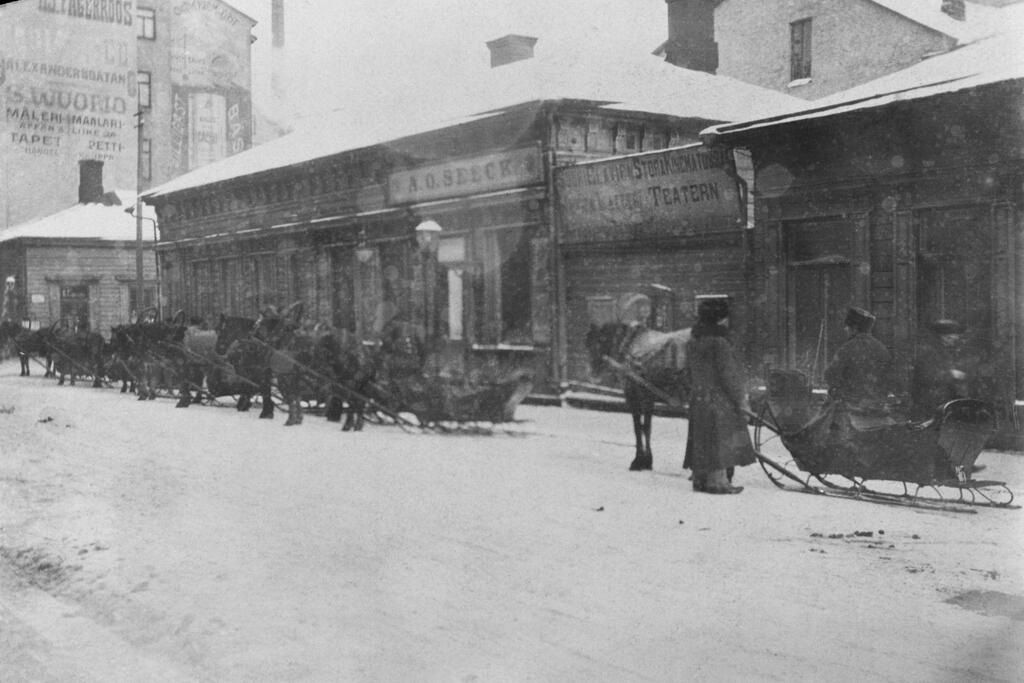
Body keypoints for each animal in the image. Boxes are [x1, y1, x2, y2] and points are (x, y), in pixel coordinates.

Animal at [589, 321, 692, 471]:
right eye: (587, 343)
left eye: (600, 341)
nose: (593, 376)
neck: (629, 345)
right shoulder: (649, 397)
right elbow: (647, 428)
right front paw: (647, 461)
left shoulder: (633, 396)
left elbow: (638, 427)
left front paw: (638, 461)